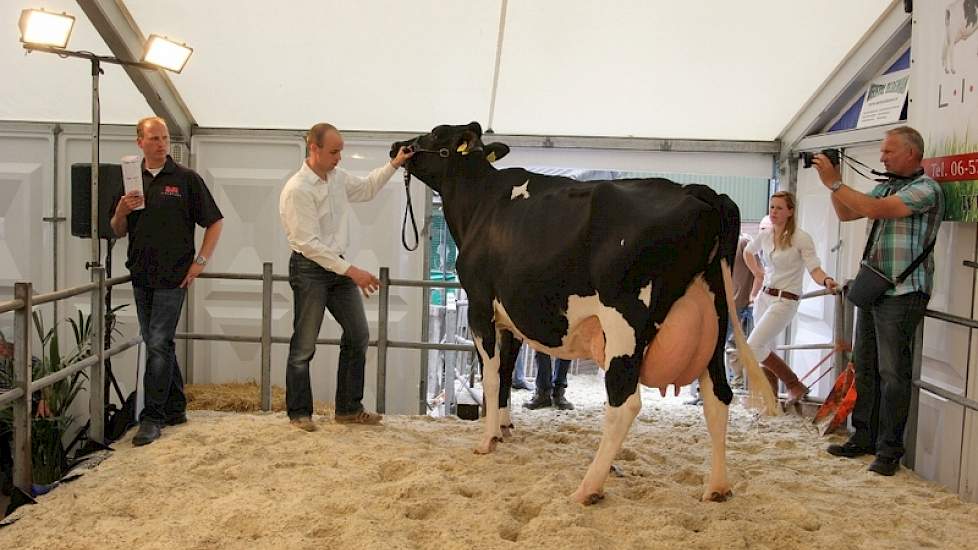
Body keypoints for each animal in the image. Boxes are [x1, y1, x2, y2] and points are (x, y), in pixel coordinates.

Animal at [392, 124, 772, 504]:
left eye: (434, 134)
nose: (396, 145)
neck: (480, 203)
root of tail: (698, 191)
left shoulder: (480, 305)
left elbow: (492, 376)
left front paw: (487, 440)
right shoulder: (510, 319)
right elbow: (506, 371)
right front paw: (504, 428)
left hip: (624, 321)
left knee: (624, 401)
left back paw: (588, 487)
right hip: (716, 320)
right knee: (718, 396)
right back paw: (717, 487)